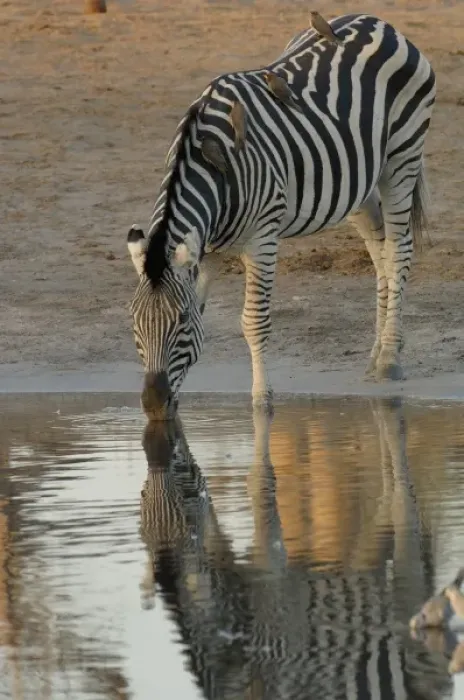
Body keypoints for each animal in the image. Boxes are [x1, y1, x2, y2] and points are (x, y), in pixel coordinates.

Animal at [127, 13, 436, 419]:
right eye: (134, 322)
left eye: (178, 321)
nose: (152, 405)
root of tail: (380, 23)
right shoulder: (208, 248)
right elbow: (203, 312)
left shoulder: (263, 237)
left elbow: (253, 321)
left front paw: (262, 400)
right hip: (359, 186)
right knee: (381, 255)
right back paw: (380, 351)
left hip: (402, 158)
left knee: (398, 252)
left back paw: (389, 362)